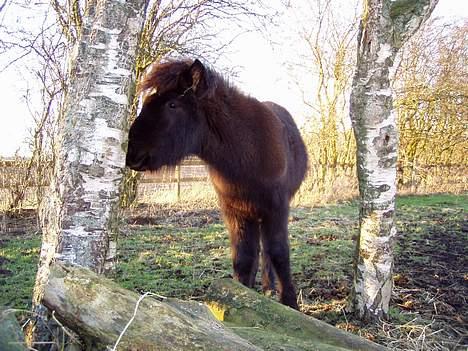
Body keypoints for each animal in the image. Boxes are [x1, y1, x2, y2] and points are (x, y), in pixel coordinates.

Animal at [125, 58, 308, 308]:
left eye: (172, 105)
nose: (131, 154)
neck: (248, 151)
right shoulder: (234, 211)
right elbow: (243, 258)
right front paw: (241, 295)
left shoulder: (277, 209)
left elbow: (279, 253)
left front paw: (289, 303)